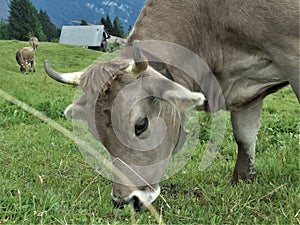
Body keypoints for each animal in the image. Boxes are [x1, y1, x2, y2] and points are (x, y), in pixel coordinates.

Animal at [43, 0, 298, 211]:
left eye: (141, 125)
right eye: (96, 134)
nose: (124, 201)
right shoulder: (243, 90)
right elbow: (244, 137)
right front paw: (243, 180)